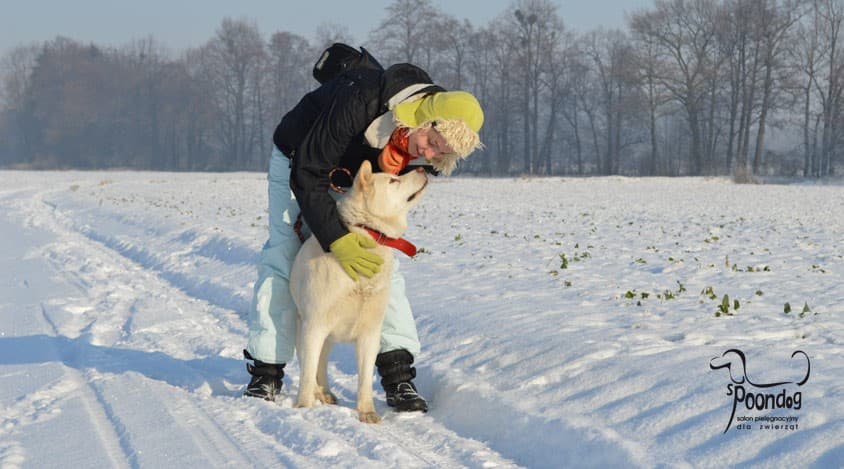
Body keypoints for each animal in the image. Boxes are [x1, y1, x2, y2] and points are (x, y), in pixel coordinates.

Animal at [292, 161, 428, 424]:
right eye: (393, 180)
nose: (423, 170)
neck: (366, 235)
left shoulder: (370, 334)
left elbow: (364, 379)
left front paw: (367, 413)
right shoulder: (314, 326)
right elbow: (307, 372)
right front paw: (303, 407)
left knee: (321, 364)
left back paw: (324, 392)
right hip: (303, 326)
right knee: (309, 365)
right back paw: (315, 394)